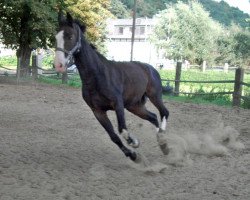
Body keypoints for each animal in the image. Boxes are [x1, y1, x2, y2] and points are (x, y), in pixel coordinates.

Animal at [53, 12, 169, 162]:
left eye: (70, 36)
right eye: (56, 37)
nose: (58, 65)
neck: (98, 76)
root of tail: (151, 68)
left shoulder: (118, 104)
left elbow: (122, 130)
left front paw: (134, 142)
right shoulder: (98, 111)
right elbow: (114, 136)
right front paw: (133, 155)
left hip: (154, 95)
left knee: (164, 112)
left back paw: (163, 142)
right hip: (134, 106)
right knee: (153, 117)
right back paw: (161, 143)